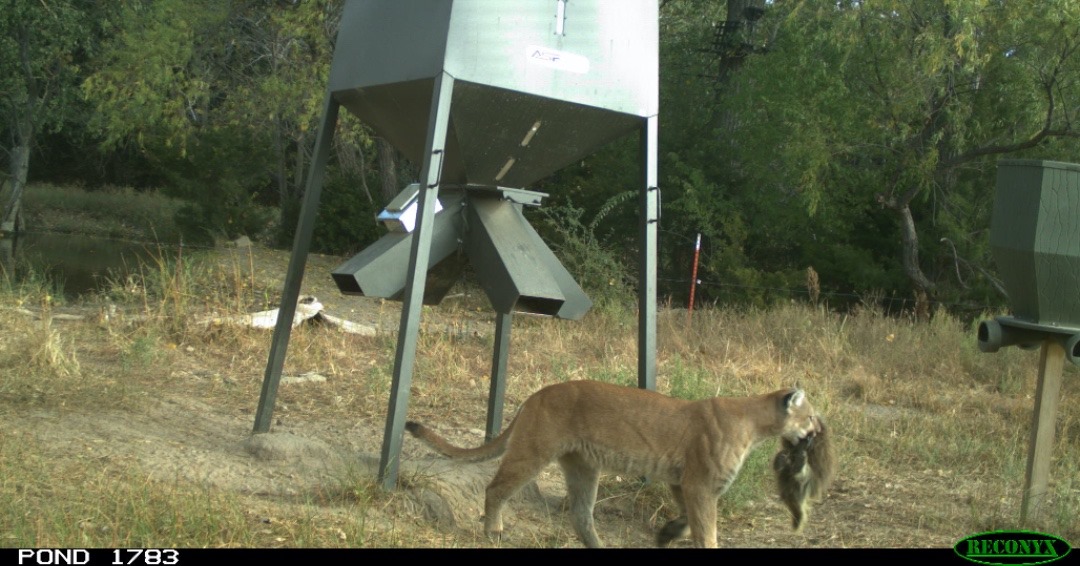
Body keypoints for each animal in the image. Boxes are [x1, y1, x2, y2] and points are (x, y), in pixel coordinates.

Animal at [403, 380, 825, 548]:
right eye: (810, 416)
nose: (819, 429)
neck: (755, 423)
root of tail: (537, 394)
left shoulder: (683, 483)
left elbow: (690, 520)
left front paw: (668, 532)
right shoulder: (700, 484)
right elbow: (706, 529)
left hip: (583, 468)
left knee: (580, 515)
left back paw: (598, 546)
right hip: (533, 452)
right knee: (495, 488)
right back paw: (494, 531)